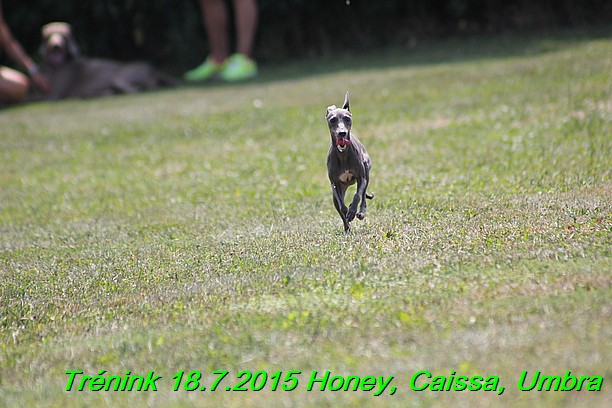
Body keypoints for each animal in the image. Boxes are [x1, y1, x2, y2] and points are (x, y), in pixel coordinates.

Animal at [38, 22, 178, 99]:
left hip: (117, 77)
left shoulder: (53, 94)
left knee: (136, 89)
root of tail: (153, 69)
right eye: (49, 36)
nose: (56, 46)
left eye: (63, 37)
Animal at [326, 92, 372, 233]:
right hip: (337, 193)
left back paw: (360, 212)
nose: (342, 133)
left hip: (366, 172)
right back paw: (347, 229)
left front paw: (352, 211)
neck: (343, 155)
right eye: (332, 119)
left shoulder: (361, 178)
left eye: (347, 118)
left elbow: (357, 195)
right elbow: (342, 208)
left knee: (363, 196)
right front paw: (348, 213)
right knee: (339, 207)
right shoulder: (335, 184)